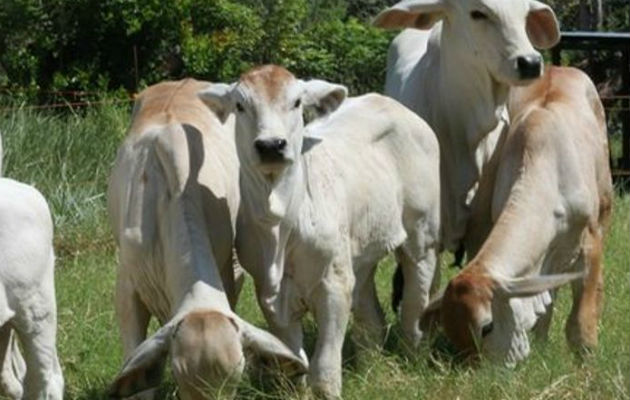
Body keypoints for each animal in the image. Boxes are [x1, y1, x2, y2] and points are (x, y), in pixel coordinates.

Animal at [200, 65, 442, 396]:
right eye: (240, 105)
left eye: (297, 103)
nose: (271, 145)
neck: (280, 223)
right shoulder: (270, 294)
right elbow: (294, 359)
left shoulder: (333, 286)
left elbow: (324, 366)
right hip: (360, 251)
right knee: (371, 316)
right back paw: (370, 364)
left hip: (422, 233)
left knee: (416, 298)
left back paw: (414, 354)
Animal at [422, 67, 616, 368]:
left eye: (486, 328)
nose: (479, 372)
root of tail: (558, 68)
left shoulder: (589, 244)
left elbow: (580, 322)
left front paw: (586, 360)